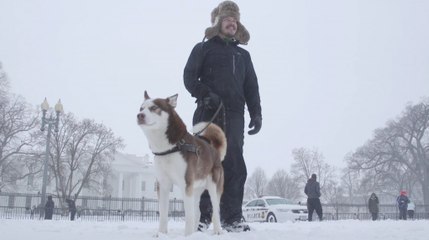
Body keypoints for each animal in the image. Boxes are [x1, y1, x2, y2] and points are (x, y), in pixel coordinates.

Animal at [136, 92, 227, 236]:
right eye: (141, 108)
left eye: (154, 108)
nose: (139, 115)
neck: (170, 148)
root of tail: (214, 150)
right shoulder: (163, 184)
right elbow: (163, 213)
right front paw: (161, 234)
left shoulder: (186, 184)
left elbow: (188, 215)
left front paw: (188, 236)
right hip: (196, 189)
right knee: (198, 211)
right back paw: (196, 232)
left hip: (213, 186)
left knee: (215, 211)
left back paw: (217, 231)